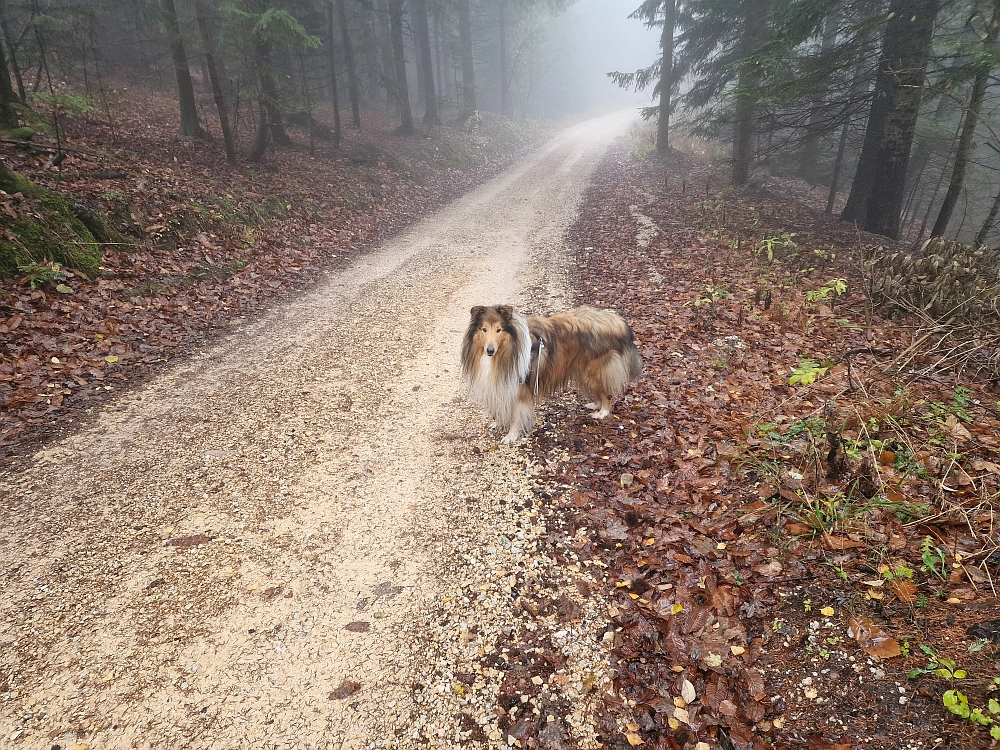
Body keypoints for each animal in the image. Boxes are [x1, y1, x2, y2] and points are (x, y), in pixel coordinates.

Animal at [460, 306, 640, 444]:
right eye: (484, 329)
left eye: (499, 330)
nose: (490, 350)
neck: (508, 348)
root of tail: (618, 322)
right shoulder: (502, 385)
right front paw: (497, 423)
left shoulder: (520, 389)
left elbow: (516, 416)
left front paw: (511, 436)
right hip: (583, 371)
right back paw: (595, 405)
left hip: (594, 371)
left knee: (607, 392)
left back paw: (602, 412)